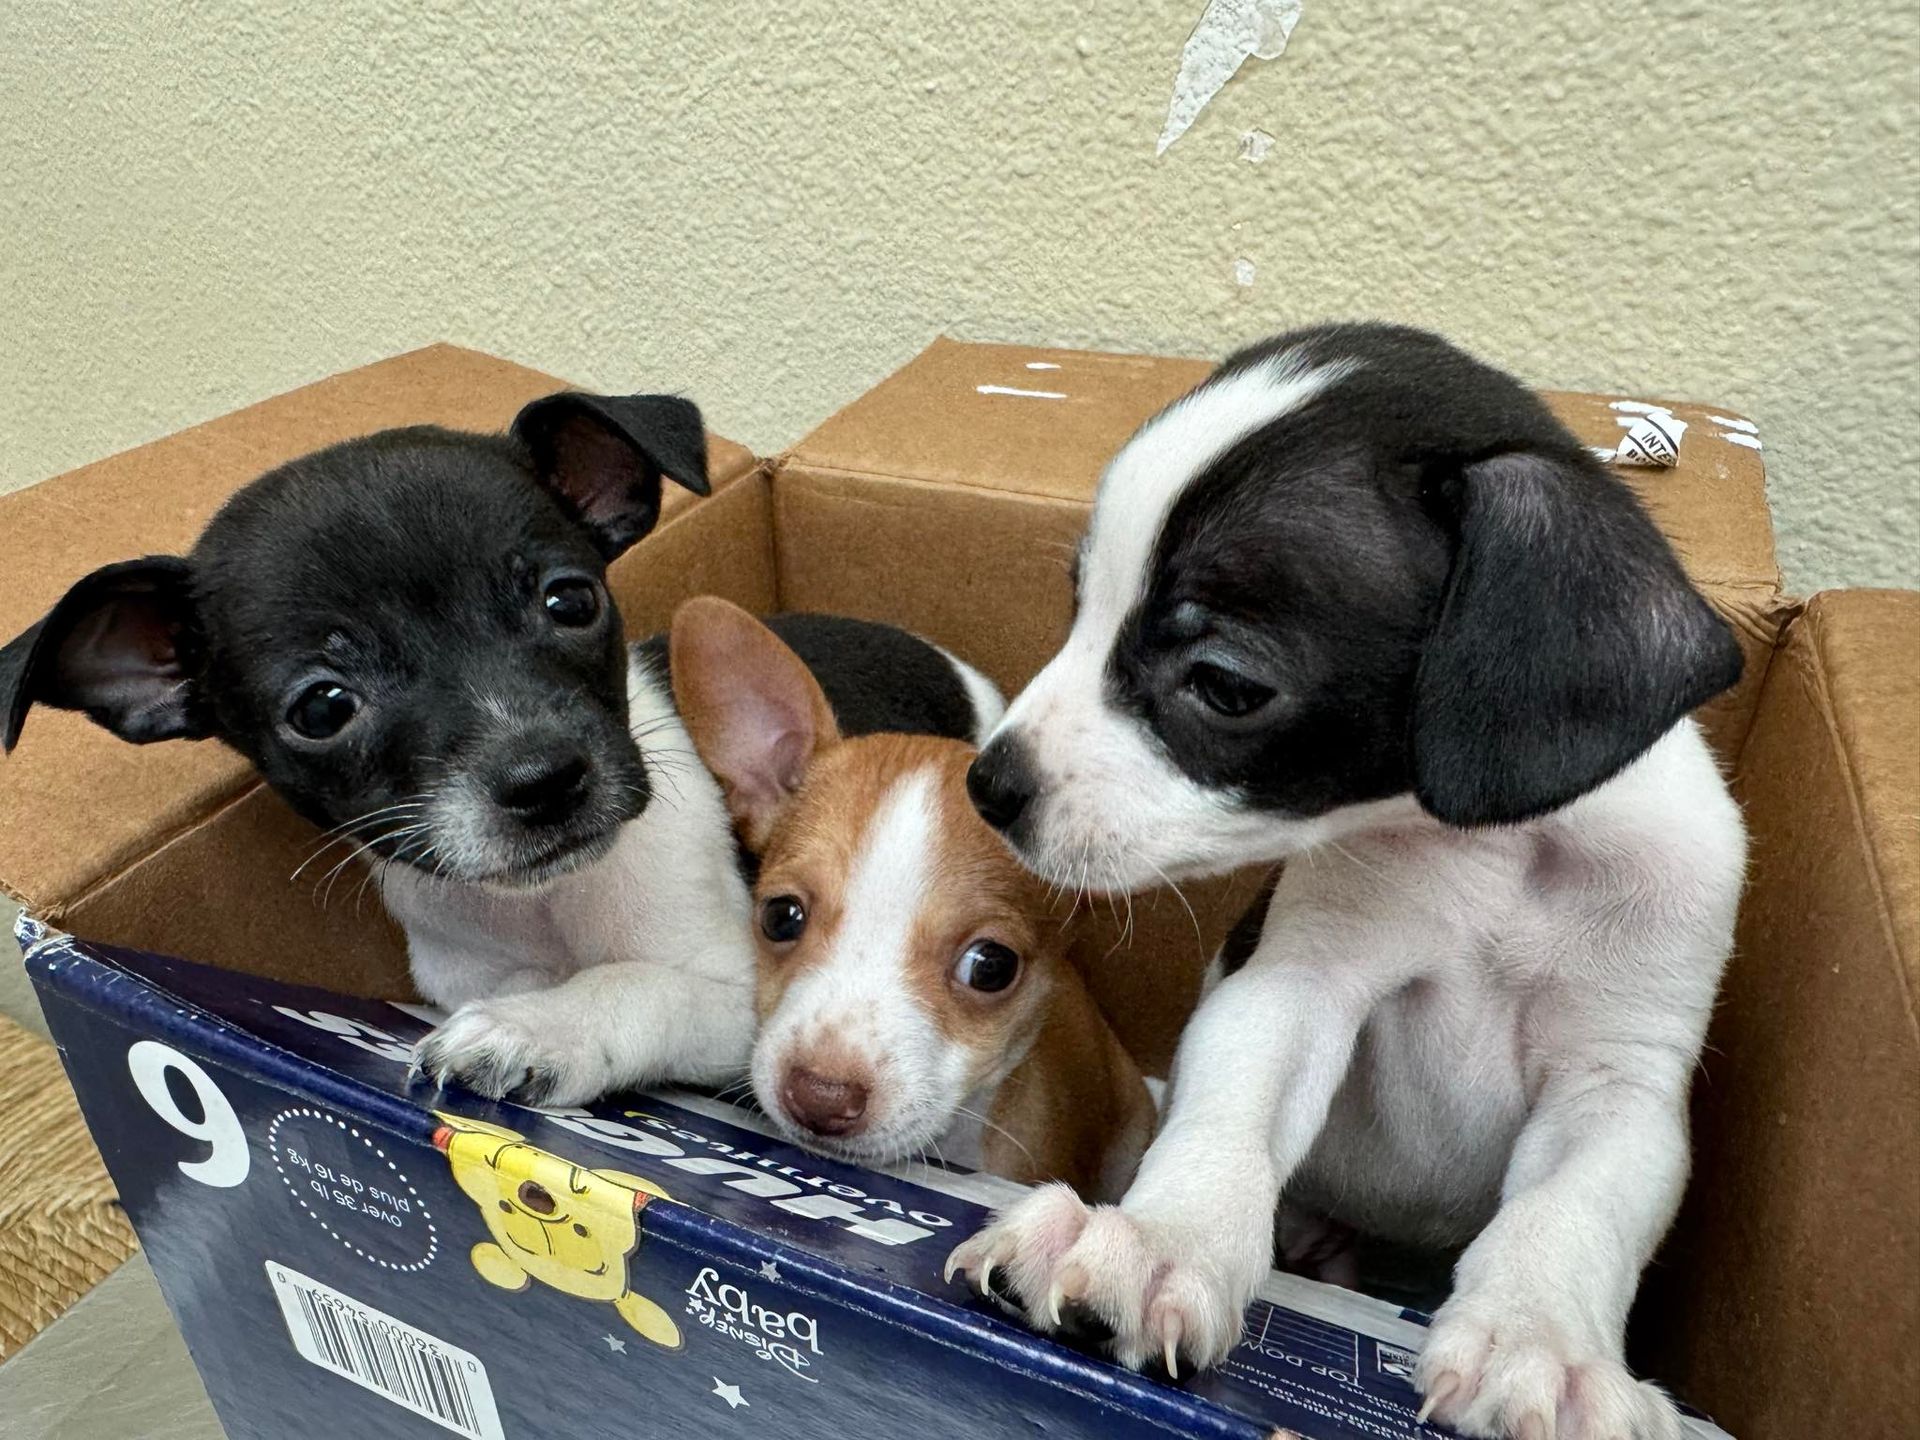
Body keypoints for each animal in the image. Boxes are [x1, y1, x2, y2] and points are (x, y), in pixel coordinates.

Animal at [7, 395, 1006, 1105]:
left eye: (571, 601)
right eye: (322, 708)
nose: (543, 778)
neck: (540, 912)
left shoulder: (743, 997)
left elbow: (637, 985)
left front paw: (539, 1031)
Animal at [952, 324, 1751, 1440]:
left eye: (1225, 685)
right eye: (1078, 609)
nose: (989, 783)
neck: (1500, 853)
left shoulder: (1620, 1086)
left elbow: (1570, 1211)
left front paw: (1541, 1344)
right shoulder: (1296, 991)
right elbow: (1230, 1123)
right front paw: (1160, 1239)